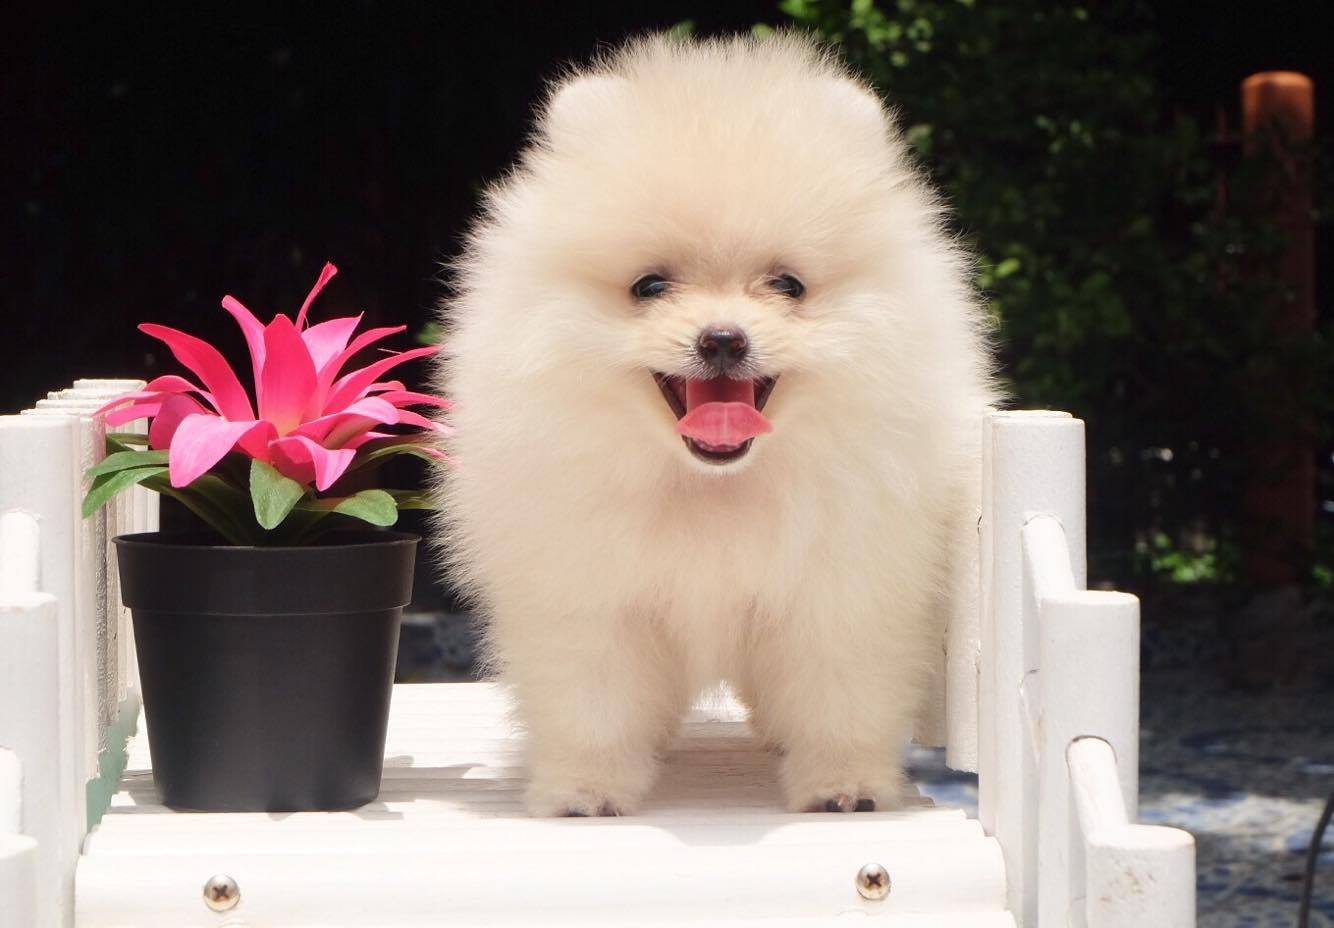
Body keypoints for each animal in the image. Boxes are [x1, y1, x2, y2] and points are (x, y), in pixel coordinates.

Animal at [434, 32, 996, 816]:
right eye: (649, 286)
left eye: (788, 285)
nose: (723, 338)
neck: (714, 485)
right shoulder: (590, 594)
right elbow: (592, 703)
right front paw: (586, 791)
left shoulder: (842, 592)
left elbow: (840, 696)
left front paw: (844, 787)